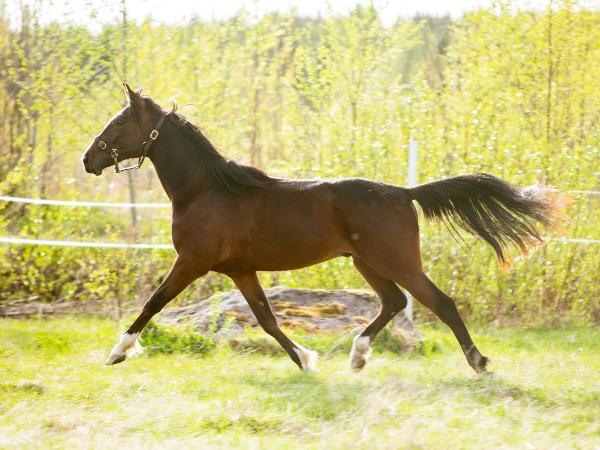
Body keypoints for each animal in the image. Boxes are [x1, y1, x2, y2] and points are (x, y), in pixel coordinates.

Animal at [82, 83, 561, 374]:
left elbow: (153, 303)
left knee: (439, 301)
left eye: (120, 122)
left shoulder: (192, 262)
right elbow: (267, 319)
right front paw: (307, 360)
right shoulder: (240, 270)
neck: (205, 191)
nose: (88, 159)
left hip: (397, 261)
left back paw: (478, 363)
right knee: (393, 302)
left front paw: (117, 353)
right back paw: (357, 357)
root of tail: (405, 192)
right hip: (367, 263)